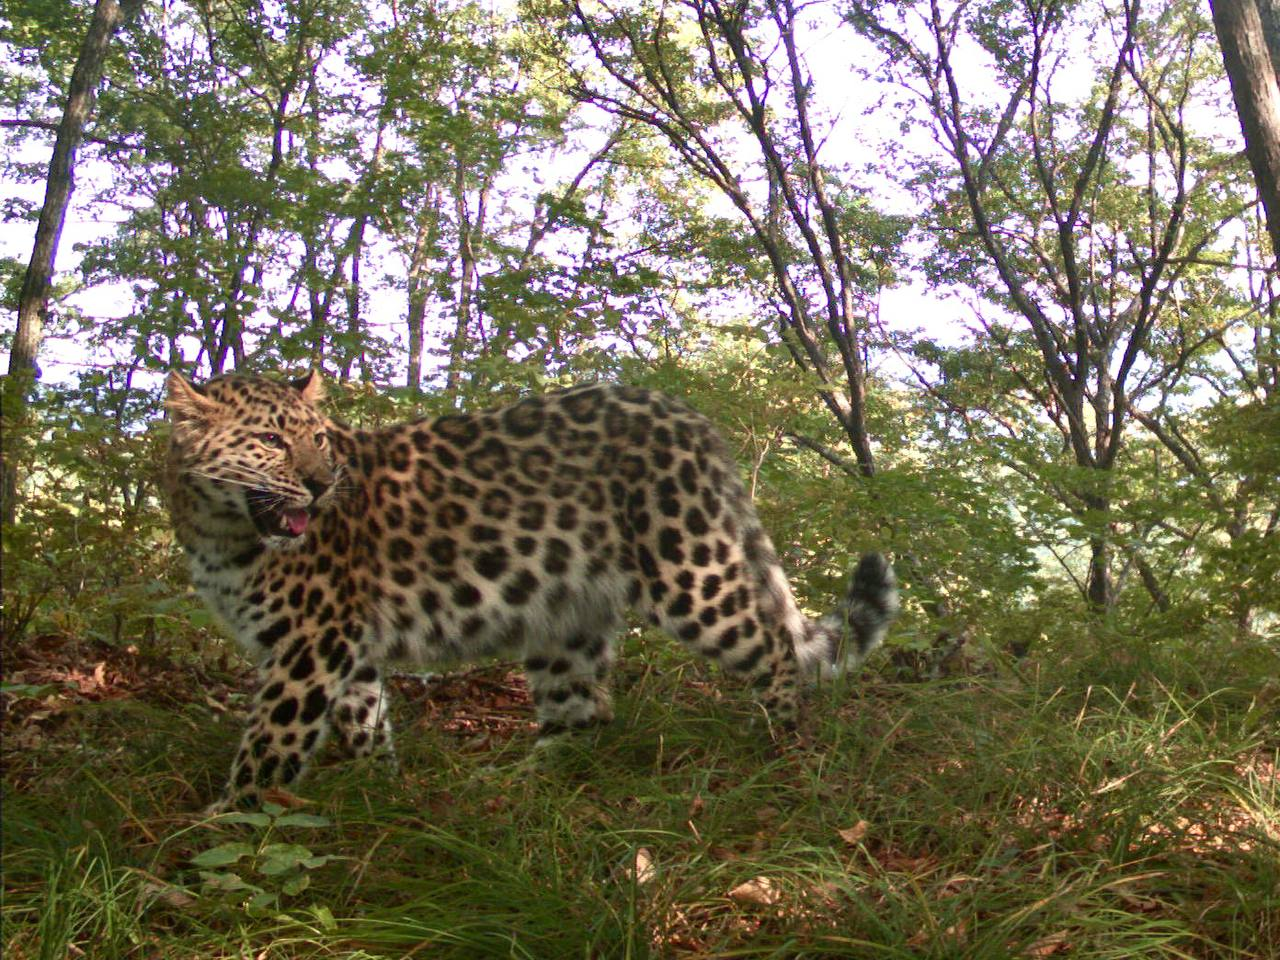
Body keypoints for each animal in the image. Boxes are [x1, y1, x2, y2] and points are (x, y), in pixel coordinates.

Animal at [162, 371, 901, 808]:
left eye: (317, 439)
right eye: (269, 440)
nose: (320, 484)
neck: (218, 527)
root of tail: (687, 416)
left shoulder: (310, 642)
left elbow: (272, 741)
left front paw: (223, 823)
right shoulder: (341, 641)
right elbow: (363, 716)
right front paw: (382, 786)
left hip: (688, 571)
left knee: (771, 644)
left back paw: (776, 744)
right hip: (565, 613)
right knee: (584, 713)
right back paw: (517, 781)